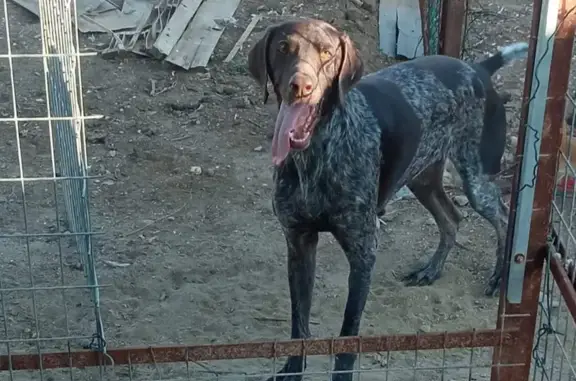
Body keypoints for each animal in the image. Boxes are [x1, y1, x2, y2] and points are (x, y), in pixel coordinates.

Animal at [246, 17, 528, 380]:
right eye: (283, 48)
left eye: (326, 53)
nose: (301, 87)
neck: (317, 152)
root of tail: (477, 69)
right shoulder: (298, 243)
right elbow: (299, 323)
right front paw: (293, 370)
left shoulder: (364, 251)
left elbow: (347, 335)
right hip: (422, 178)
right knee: (452, 218)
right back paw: (431, 270)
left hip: (476, 180)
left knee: (503, 217)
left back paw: (498, 276)